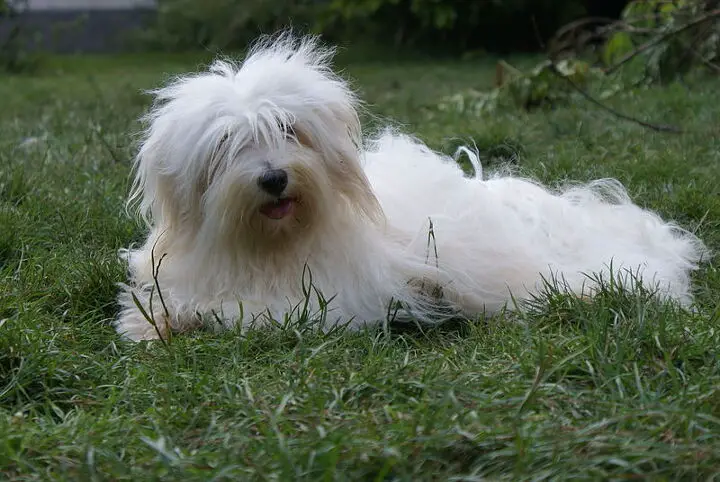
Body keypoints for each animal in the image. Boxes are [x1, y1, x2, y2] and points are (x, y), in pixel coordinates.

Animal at [116, 34, 708, 340]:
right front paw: (152, 323)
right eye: (227, 145)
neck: (269, 246)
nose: (274, 177)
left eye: (288, 130)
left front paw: (197, 318)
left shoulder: (322, 301)